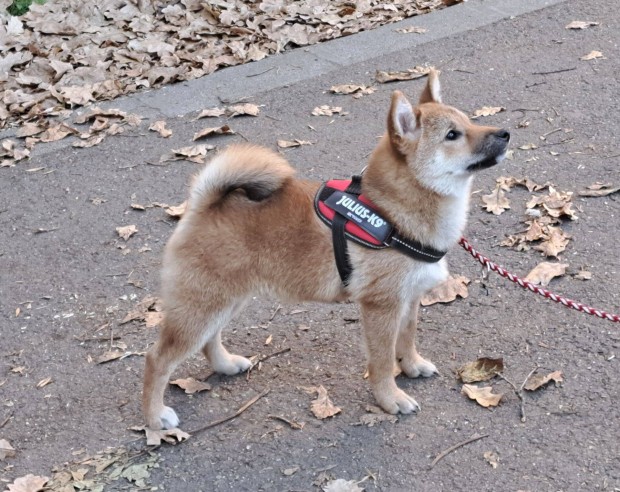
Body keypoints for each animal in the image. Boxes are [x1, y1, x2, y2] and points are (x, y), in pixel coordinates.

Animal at [144, 70, 508, 430]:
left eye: (469, 121)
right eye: (452, 135)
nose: (505, 133)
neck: (390, 213)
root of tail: (203, 205)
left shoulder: (409, 299)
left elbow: (407, 339)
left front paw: (412, 365)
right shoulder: (381, 307)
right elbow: (381, 362)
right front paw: (390, 399)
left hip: (224, 301)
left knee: (210, 339)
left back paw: (224, 364)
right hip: (201, 307)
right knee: (157, 359)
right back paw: (154, 415)